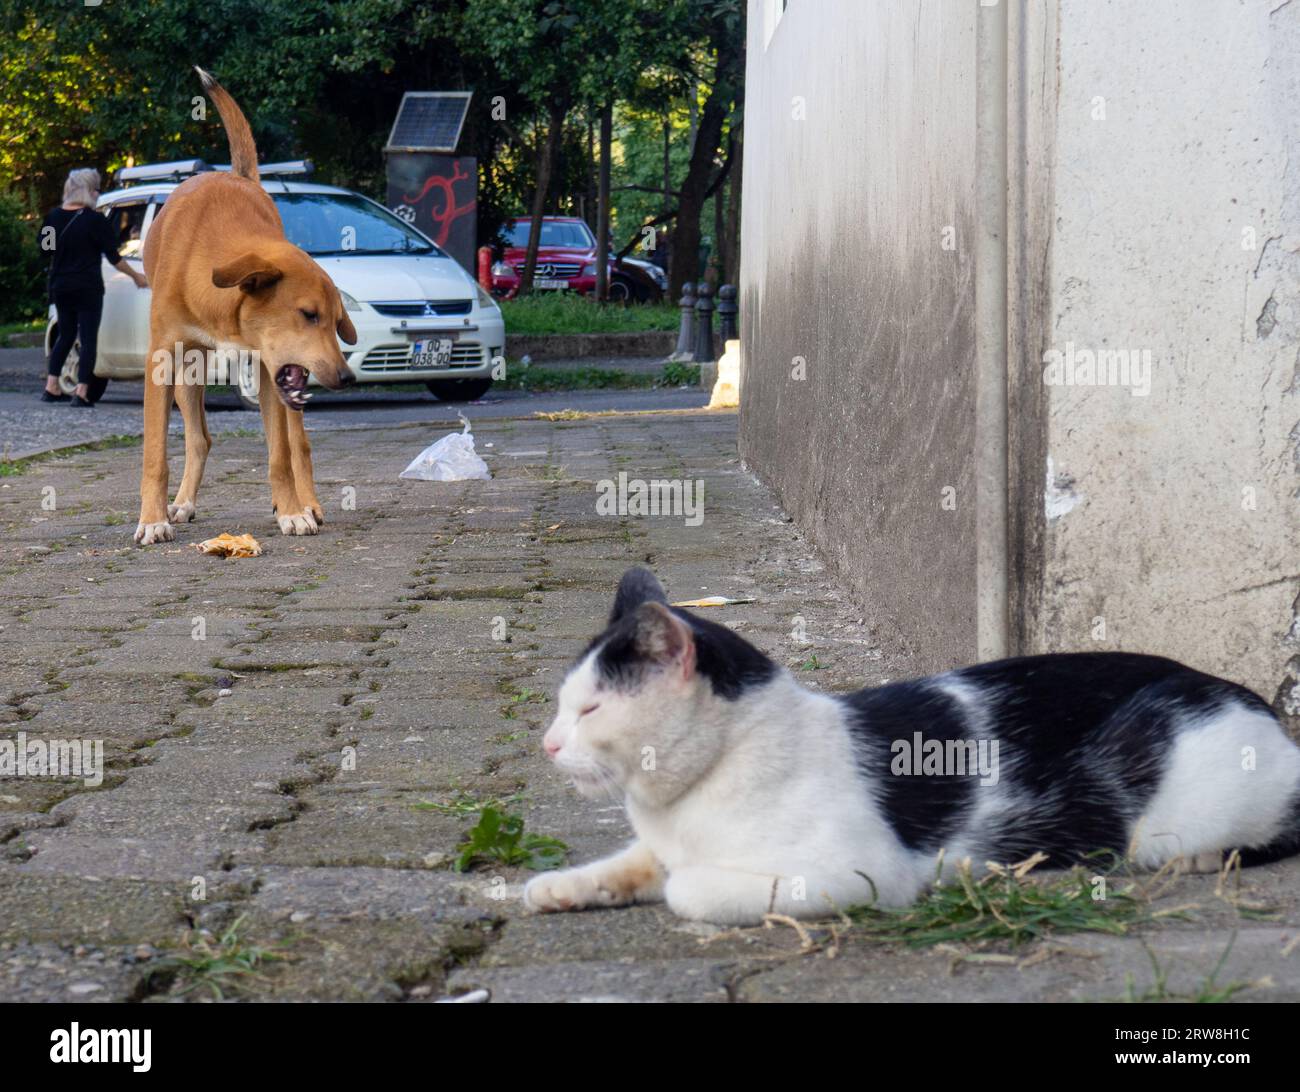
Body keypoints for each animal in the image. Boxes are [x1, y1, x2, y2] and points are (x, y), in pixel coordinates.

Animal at [135, 68, 358, 546]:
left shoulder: (270, 371)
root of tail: (238, 175)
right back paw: (182, 503)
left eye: (335, 321)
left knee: (296, 444)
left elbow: (280, 456)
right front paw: (153, 519)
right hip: (188, 375)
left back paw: (308, 504)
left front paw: (291, 512)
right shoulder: (162, 362)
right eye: (308, 314)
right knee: (199, 439)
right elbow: (155, 455)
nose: (347, 377)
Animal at [522, 566, 1300, 925]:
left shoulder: (855, 871)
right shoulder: (657, 843)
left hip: (1179, 813)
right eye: (563, 702)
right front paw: (562, 886)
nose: (548, 744)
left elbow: (687, 889)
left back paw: (1201, 860)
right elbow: (633, 863)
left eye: (590, 707)